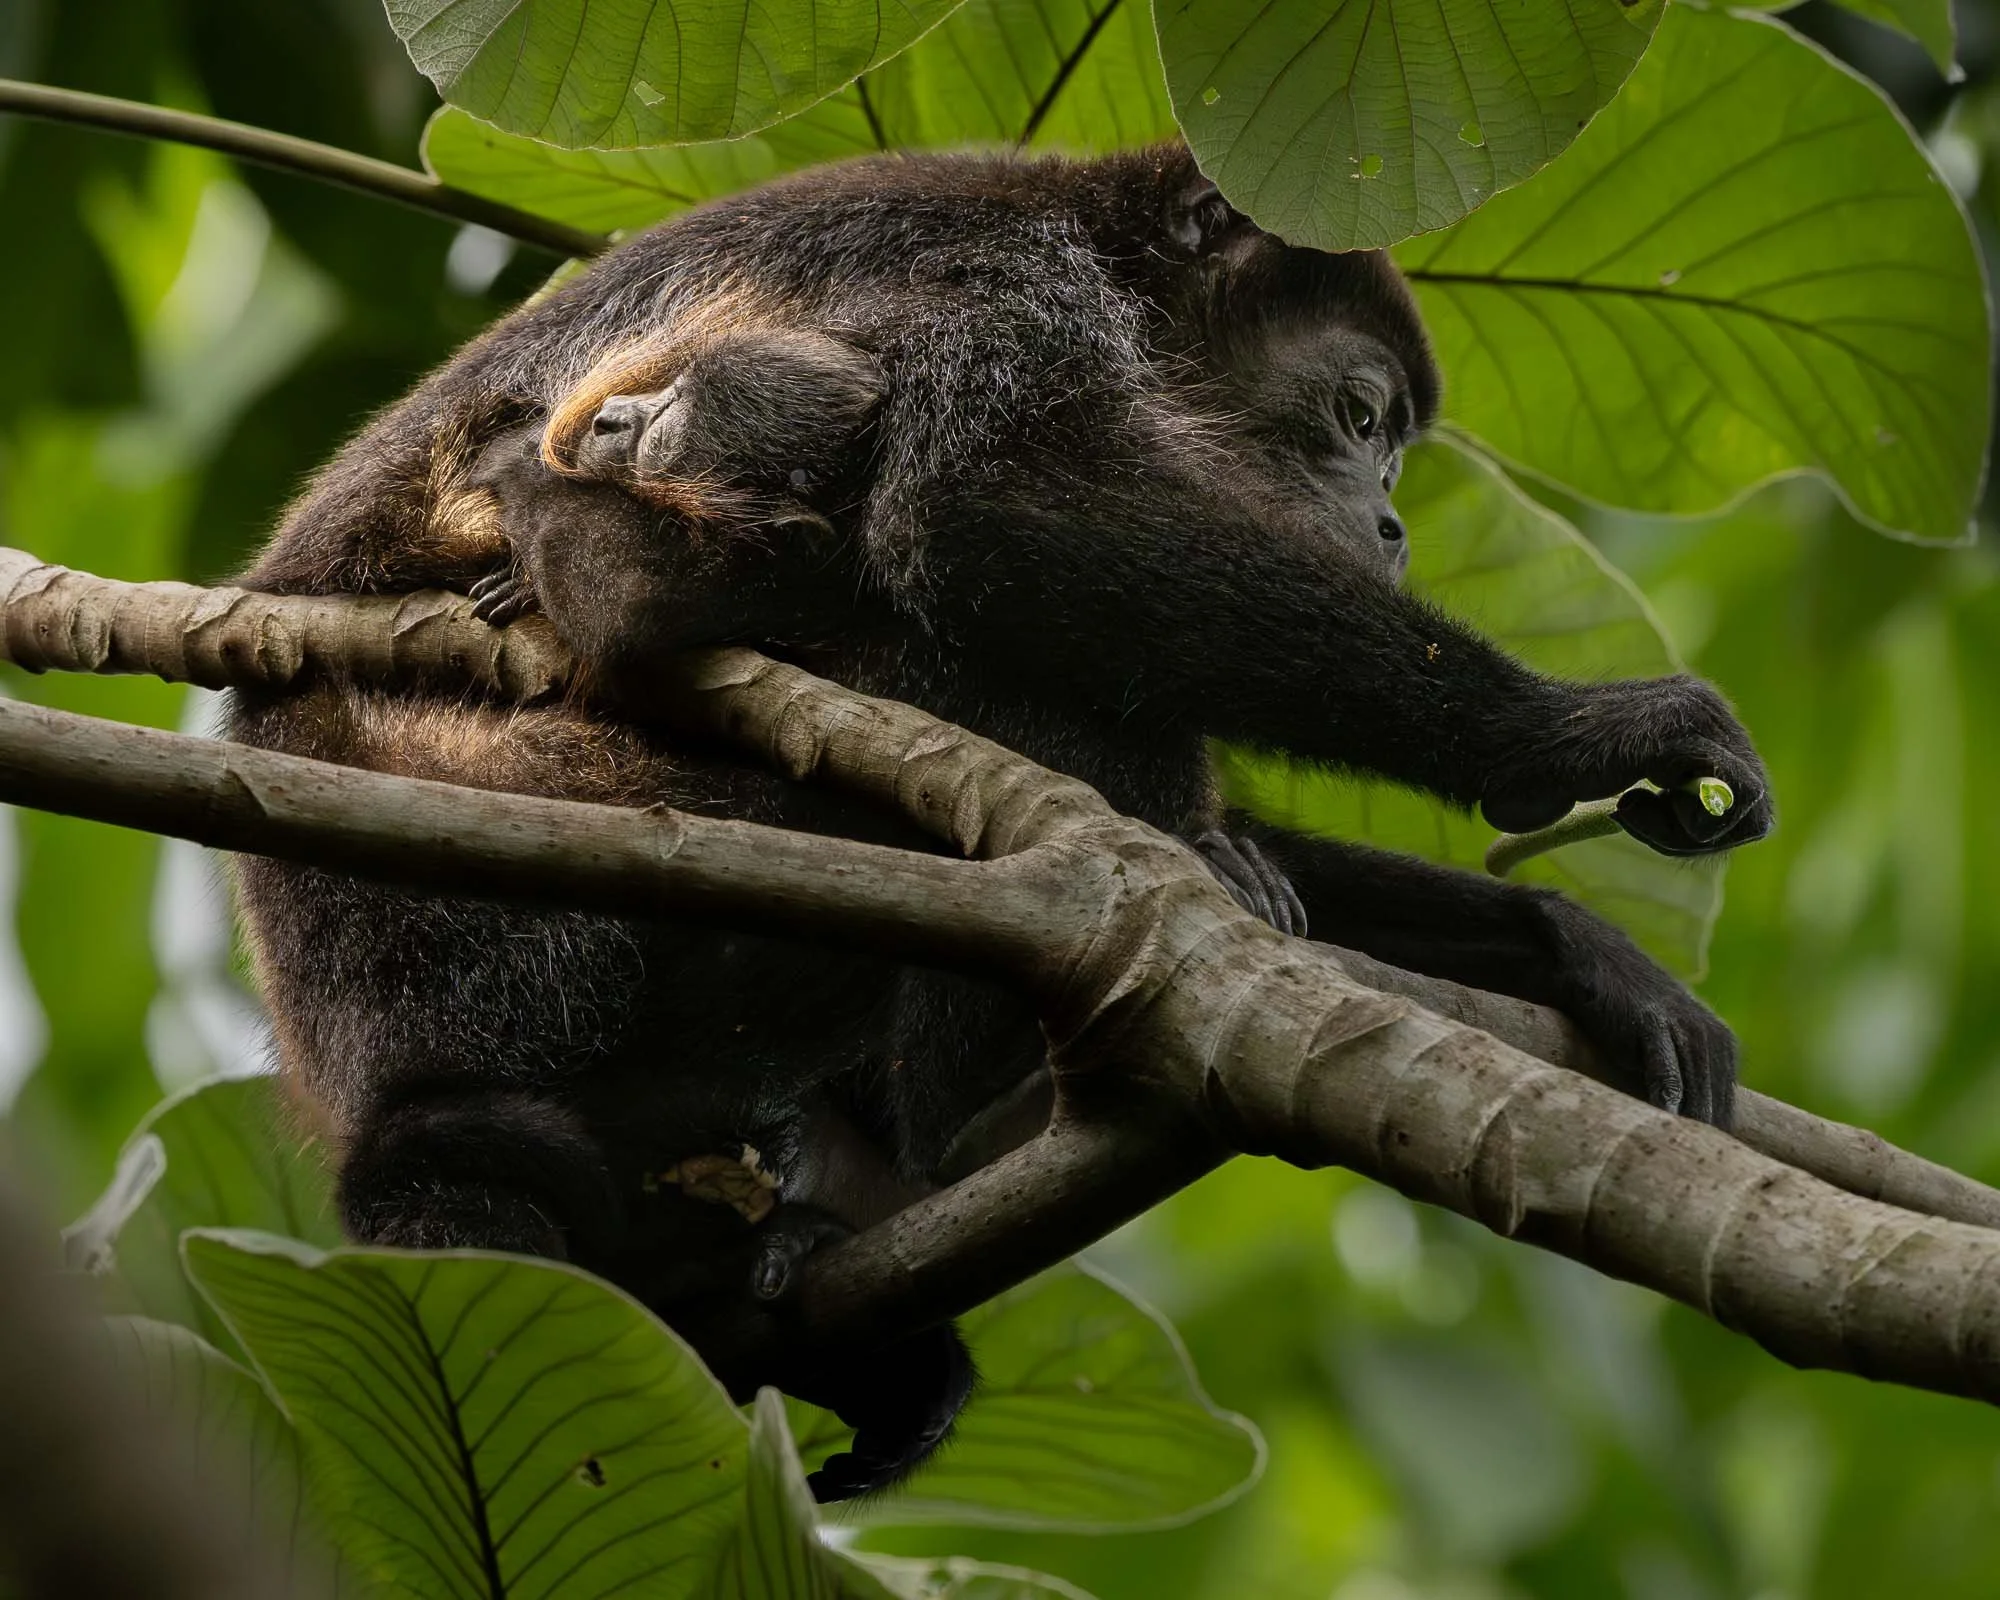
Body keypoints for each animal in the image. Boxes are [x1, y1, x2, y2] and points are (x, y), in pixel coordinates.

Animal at [226, 143, 1773, 1501]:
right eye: (1359, 419)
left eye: (1396, 448)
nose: (1392, 528)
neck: (1102, 247)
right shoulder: (996, 280)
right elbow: (992, 503)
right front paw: (1565, 737)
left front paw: (1577, 945)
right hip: (577, 841)